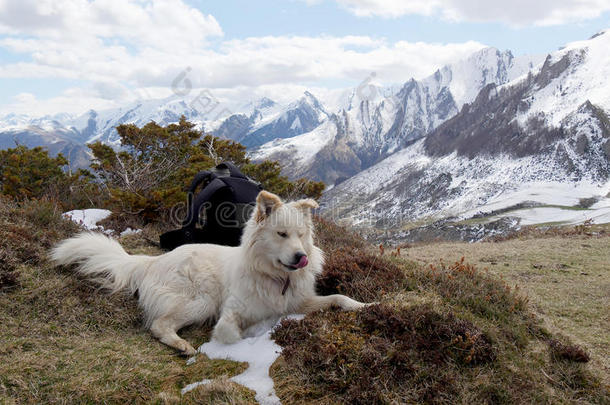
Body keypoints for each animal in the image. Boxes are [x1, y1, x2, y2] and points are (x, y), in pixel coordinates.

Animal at [51, 191, 366, 352]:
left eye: (301, 236)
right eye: (282, 234)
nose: (301, 257)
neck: (275, 278)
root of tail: (152, 261)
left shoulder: (299, 302)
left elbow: (338, 298)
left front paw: (364, 305)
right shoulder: (230, 312)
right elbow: (230, 333)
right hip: (201, 300)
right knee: (159, 325)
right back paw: (182, 345)